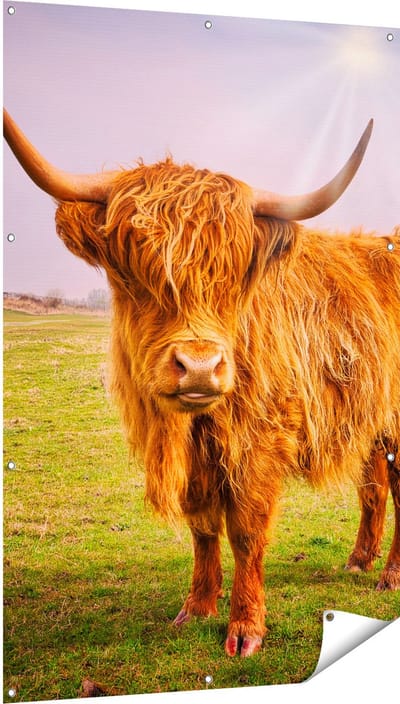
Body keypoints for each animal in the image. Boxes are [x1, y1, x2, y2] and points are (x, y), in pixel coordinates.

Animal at [4, 108, 400, 658]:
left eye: (234, 274)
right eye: (134, 269)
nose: (198, 366)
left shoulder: (259, 442)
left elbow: (246, 532)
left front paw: (246, 628)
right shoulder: (195, 459)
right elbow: (203, 526)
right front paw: (196, 608)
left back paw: (390, 575)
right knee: (374, 487)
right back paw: (360, 561)